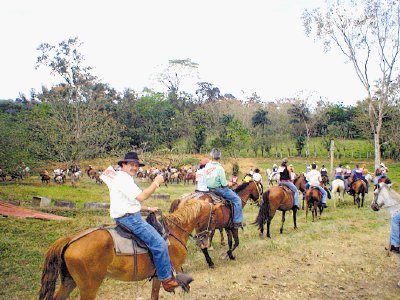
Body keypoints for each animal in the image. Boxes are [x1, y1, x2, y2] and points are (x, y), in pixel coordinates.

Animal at [38, 199, 222, 300]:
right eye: (213, 218)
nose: (204, 241)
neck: (173, 231)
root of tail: (70, 239)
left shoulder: (158, 276)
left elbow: (155, 295)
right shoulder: (174, 271)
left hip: (69, 281)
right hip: (88, 287)